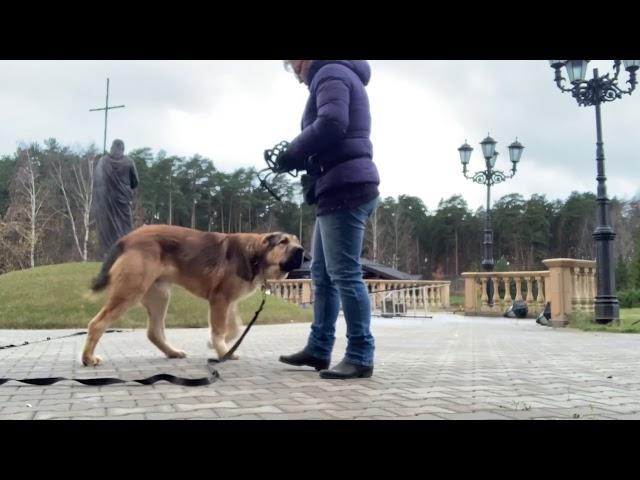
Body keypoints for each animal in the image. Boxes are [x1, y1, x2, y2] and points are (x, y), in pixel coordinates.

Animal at [82, 225, 304, 368]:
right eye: (283, 242)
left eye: (297, 242)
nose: (302, 251)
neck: (256, 254)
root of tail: (127, 238)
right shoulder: (220, 299)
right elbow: (220, 329)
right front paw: (222, 351)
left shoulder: (229, 302)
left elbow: (234, 327)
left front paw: (221, 347)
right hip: (130, 292)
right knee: (97, 323)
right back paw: (88, 358)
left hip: (159, 295)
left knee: (154, 331)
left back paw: (172, 352)